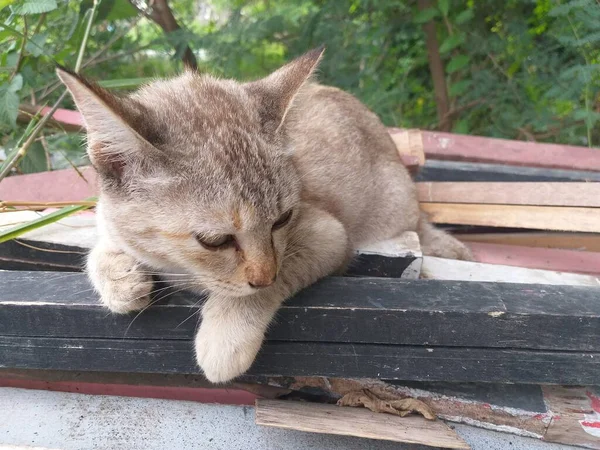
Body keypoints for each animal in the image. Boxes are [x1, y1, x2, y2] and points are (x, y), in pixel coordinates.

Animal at [56, 45, 472, 384]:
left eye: (282, 220)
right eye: (215, 240)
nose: (264, 276)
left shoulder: (330, 235)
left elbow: (268, 281)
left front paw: (226, 334)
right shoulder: (108, 215)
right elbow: (104, 239)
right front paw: (118, 276)